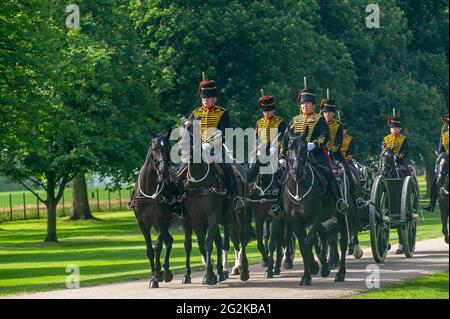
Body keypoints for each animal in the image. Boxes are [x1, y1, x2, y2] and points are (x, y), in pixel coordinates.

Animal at [284, 127, 348, 284]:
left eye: (305, 148)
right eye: (289, 148)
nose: (297, 171)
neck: (299, 187)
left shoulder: (314, 219)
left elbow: (308, 243)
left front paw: (313, 269)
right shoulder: (297, 222)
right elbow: (304, 246)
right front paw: (308, 273)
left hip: (341, 214)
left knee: (343, 241)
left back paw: (340, 273)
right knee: (323, 236)